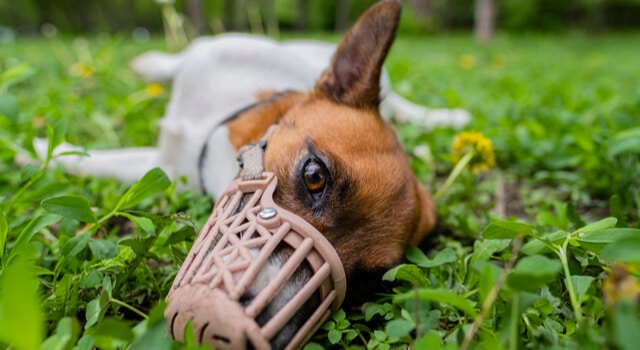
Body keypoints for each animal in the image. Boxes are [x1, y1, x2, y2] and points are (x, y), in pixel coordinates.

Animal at [25, 1, 468, 348]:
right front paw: (36, 152)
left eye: (364, 284)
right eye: (315, 175)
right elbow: (88, 156)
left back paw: (446, 116)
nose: (241, 330)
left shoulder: (164, 166)